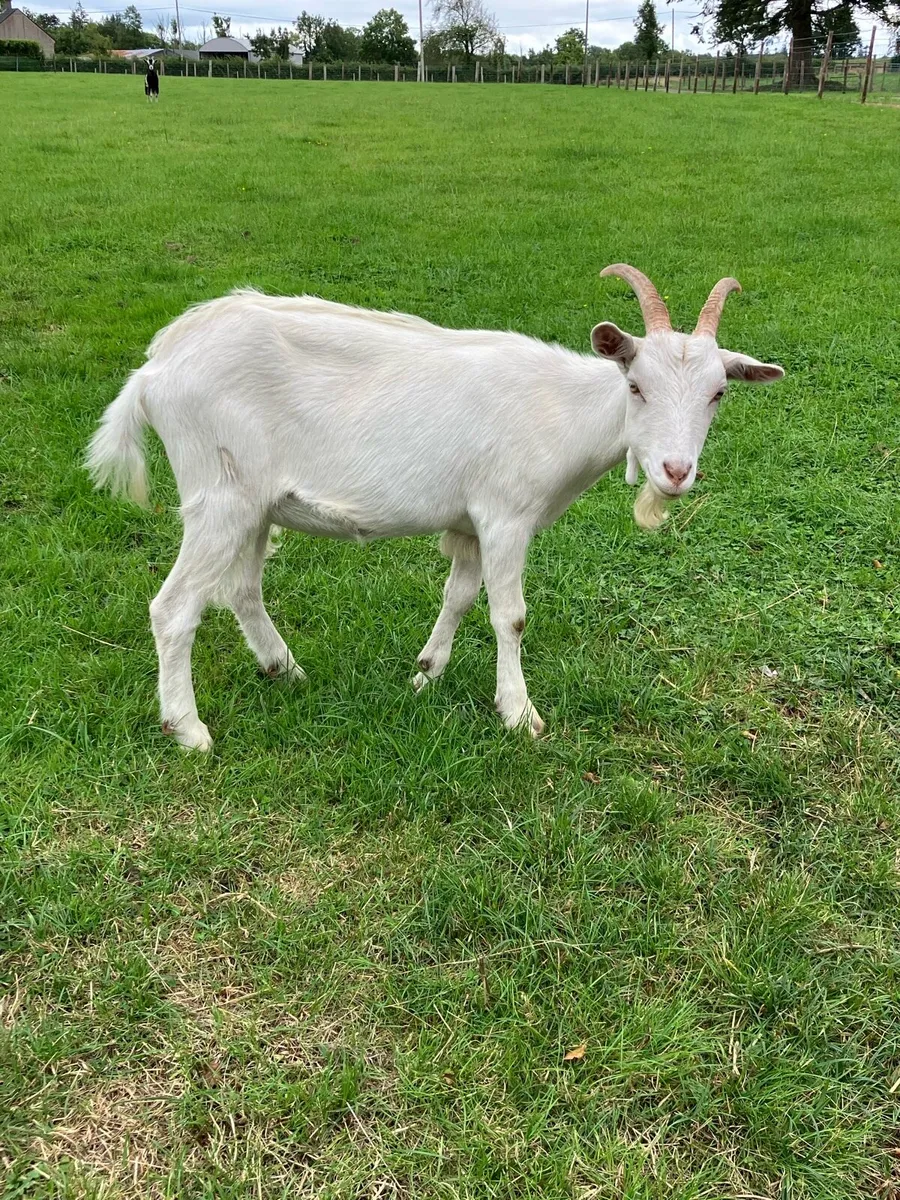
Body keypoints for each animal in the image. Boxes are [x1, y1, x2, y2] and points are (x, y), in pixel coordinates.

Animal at [87, 265, 784, 751]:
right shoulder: (505, 516)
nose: (675, 472)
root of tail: (155, 370)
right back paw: (189, 730)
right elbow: (510, 616)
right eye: (636, 386)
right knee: (174, 608)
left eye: (719, 393)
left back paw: (284, 669)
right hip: (218, 495)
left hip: (254, 505)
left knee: (241, 589)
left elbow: (459, 596)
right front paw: (519, 714)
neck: (563, 409)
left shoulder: (469, 523)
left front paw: (426, 673)